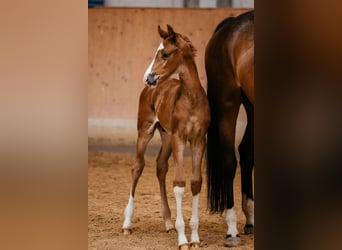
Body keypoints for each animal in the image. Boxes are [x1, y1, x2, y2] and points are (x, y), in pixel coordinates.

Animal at [121, 23, 210, 250]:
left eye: (165, 54)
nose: (148, 77)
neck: (191, 99)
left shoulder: (199, 140)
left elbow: (196, 182)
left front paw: (195, 238)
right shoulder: (180, 138)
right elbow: (179, 184)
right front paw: (183, 239)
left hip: (166, 135)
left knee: (161, 166)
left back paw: (168, 222)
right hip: (145, 131)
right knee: (137, 166)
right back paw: (127, 224)